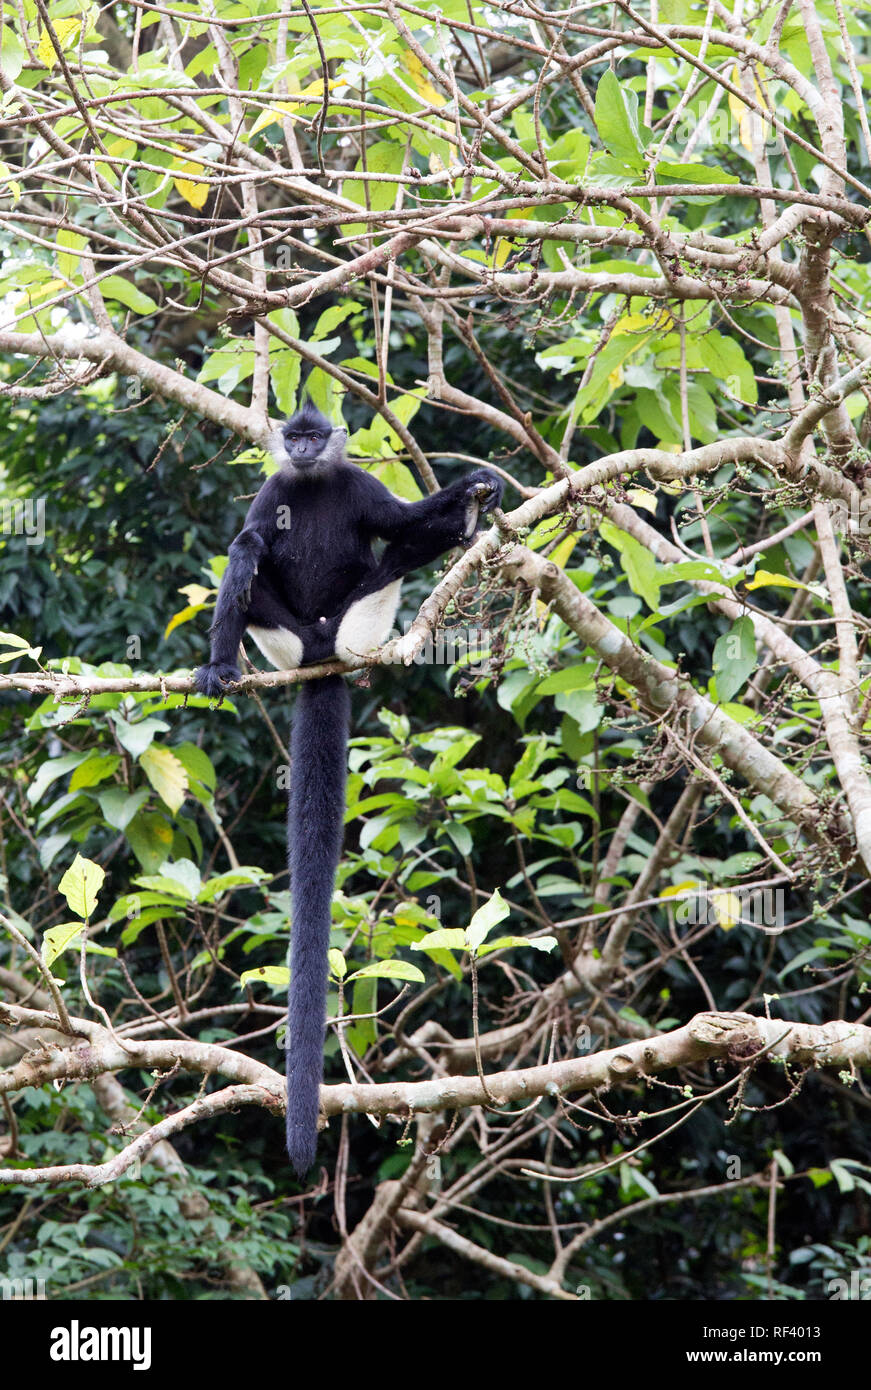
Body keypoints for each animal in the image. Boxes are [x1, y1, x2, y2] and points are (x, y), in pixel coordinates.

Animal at [193, 403, 500, 1173]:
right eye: (293, 439)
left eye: (312, 436)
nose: (302, 448)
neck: (312, 484)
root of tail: (320, 650)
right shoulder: (276, 490)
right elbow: (250, 537)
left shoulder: (357, 486)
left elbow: (400, 521)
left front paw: (473, 493)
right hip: (284, 636)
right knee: (246, 553)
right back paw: (222, 666)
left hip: (358, 619)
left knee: (394, 557)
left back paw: (458, 530)